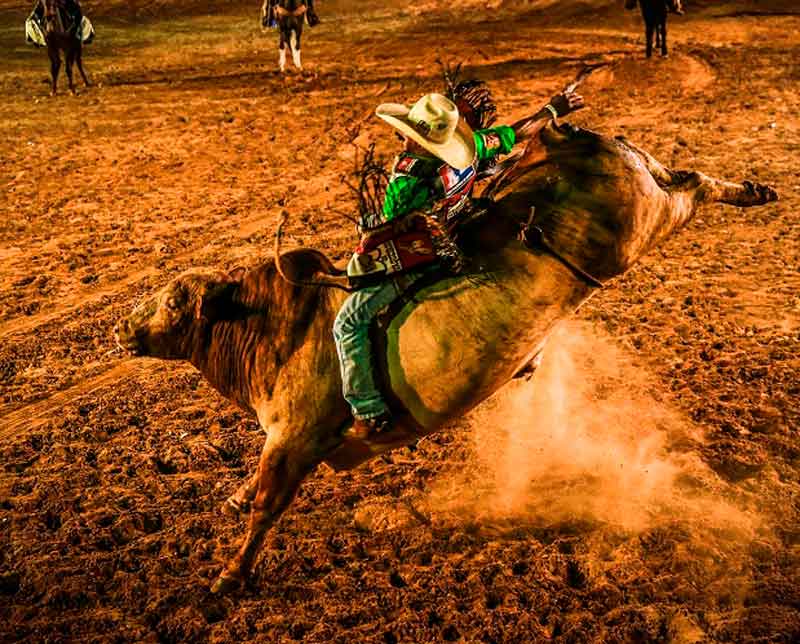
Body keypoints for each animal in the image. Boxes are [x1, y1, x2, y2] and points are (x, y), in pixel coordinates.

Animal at [117, 90, 776, 592]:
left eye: (175, 301)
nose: (122, 326)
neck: (277, 327)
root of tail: (565, 143)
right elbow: (252, 493)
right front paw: (231, 503)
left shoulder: (294, 441)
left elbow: (265, 506)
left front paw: (229, 577)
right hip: (646, 192)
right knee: (684, 175)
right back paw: (753, 188)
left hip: (646, 222)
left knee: (693, 187)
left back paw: (750, 191)